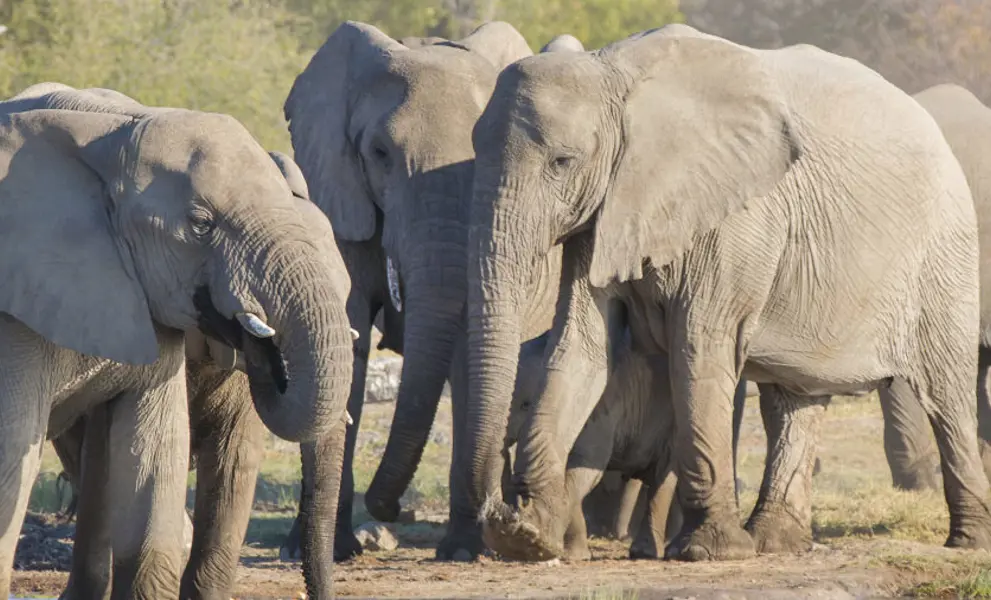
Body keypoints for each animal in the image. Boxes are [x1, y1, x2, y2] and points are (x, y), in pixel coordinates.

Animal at [282, 21, 581, 562]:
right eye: (380, 154)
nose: (391, 510)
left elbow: (466, 352)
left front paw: (464, 550)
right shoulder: (340, 196)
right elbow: (345, 334)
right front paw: (318, 550)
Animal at [464, 23, 991, 563]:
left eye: (562, 161)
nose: (495, 510)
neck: (614, 74)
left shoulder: (738, 219)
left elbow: (699, 344)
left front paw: (711, 551)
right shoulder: (604, 212)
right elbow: (582, 345)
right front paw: (527, 538)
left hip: (944, 253)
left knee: (946, 392)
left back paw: (968, 542)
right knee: (794, 399)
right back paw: (776, 542)